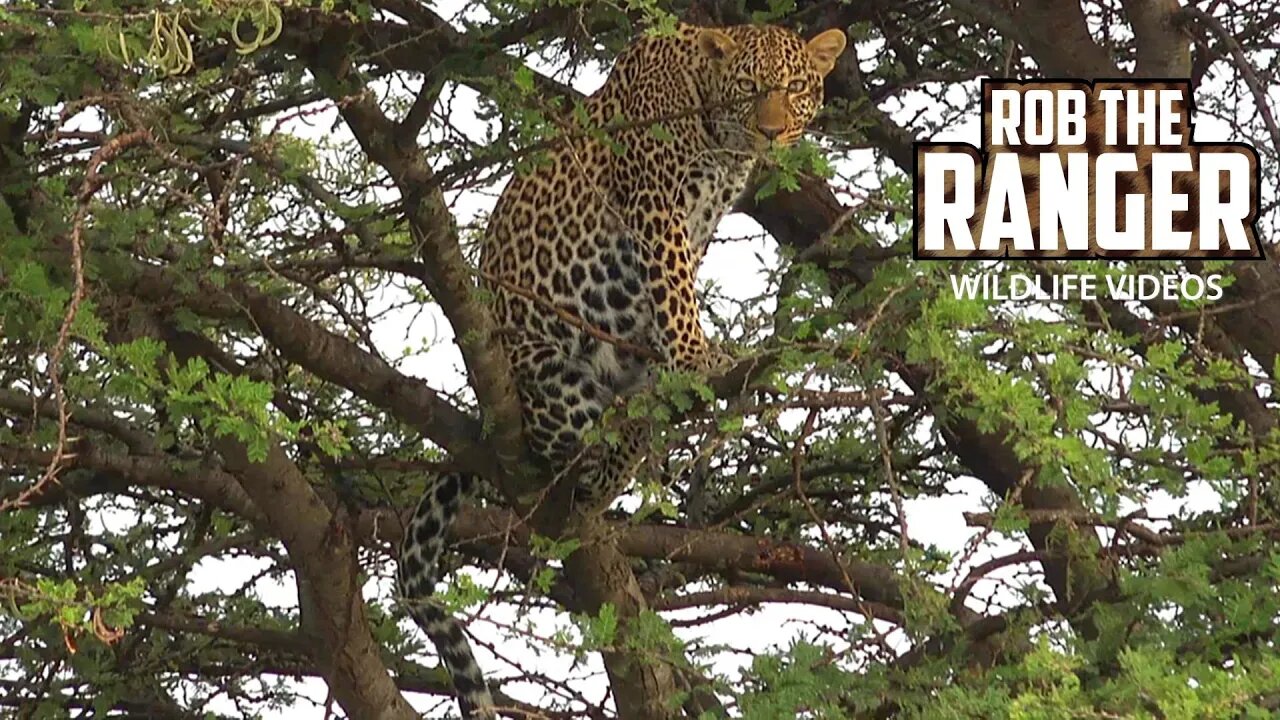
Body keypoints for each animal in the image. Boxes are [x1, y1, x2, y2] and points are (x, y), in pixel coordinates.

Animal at [394, 22, 844, 717]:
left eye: (796, 86)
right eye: (749, 87)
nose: (772, 134)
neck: (717, 135)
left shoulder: (698, 219)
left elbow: (672, 290)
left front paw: (683, 360)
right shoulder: (655, 201)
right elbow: (675, 286)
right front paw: (697, 355)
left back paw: (643, 419)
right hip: (556, 382)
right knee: (576, 468)